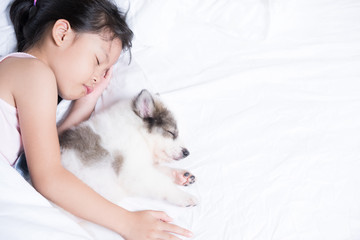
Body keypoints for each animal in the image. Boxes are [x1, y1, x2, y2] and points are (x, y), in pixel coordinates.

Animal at [60, 89, 198, 207]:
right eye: (171, 132)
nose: (187, 152)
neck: (137, 132)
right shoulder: (134, 172)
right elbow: (162, 183)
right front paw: (185, 197)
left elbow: (162, 170)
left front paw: (180, 175)